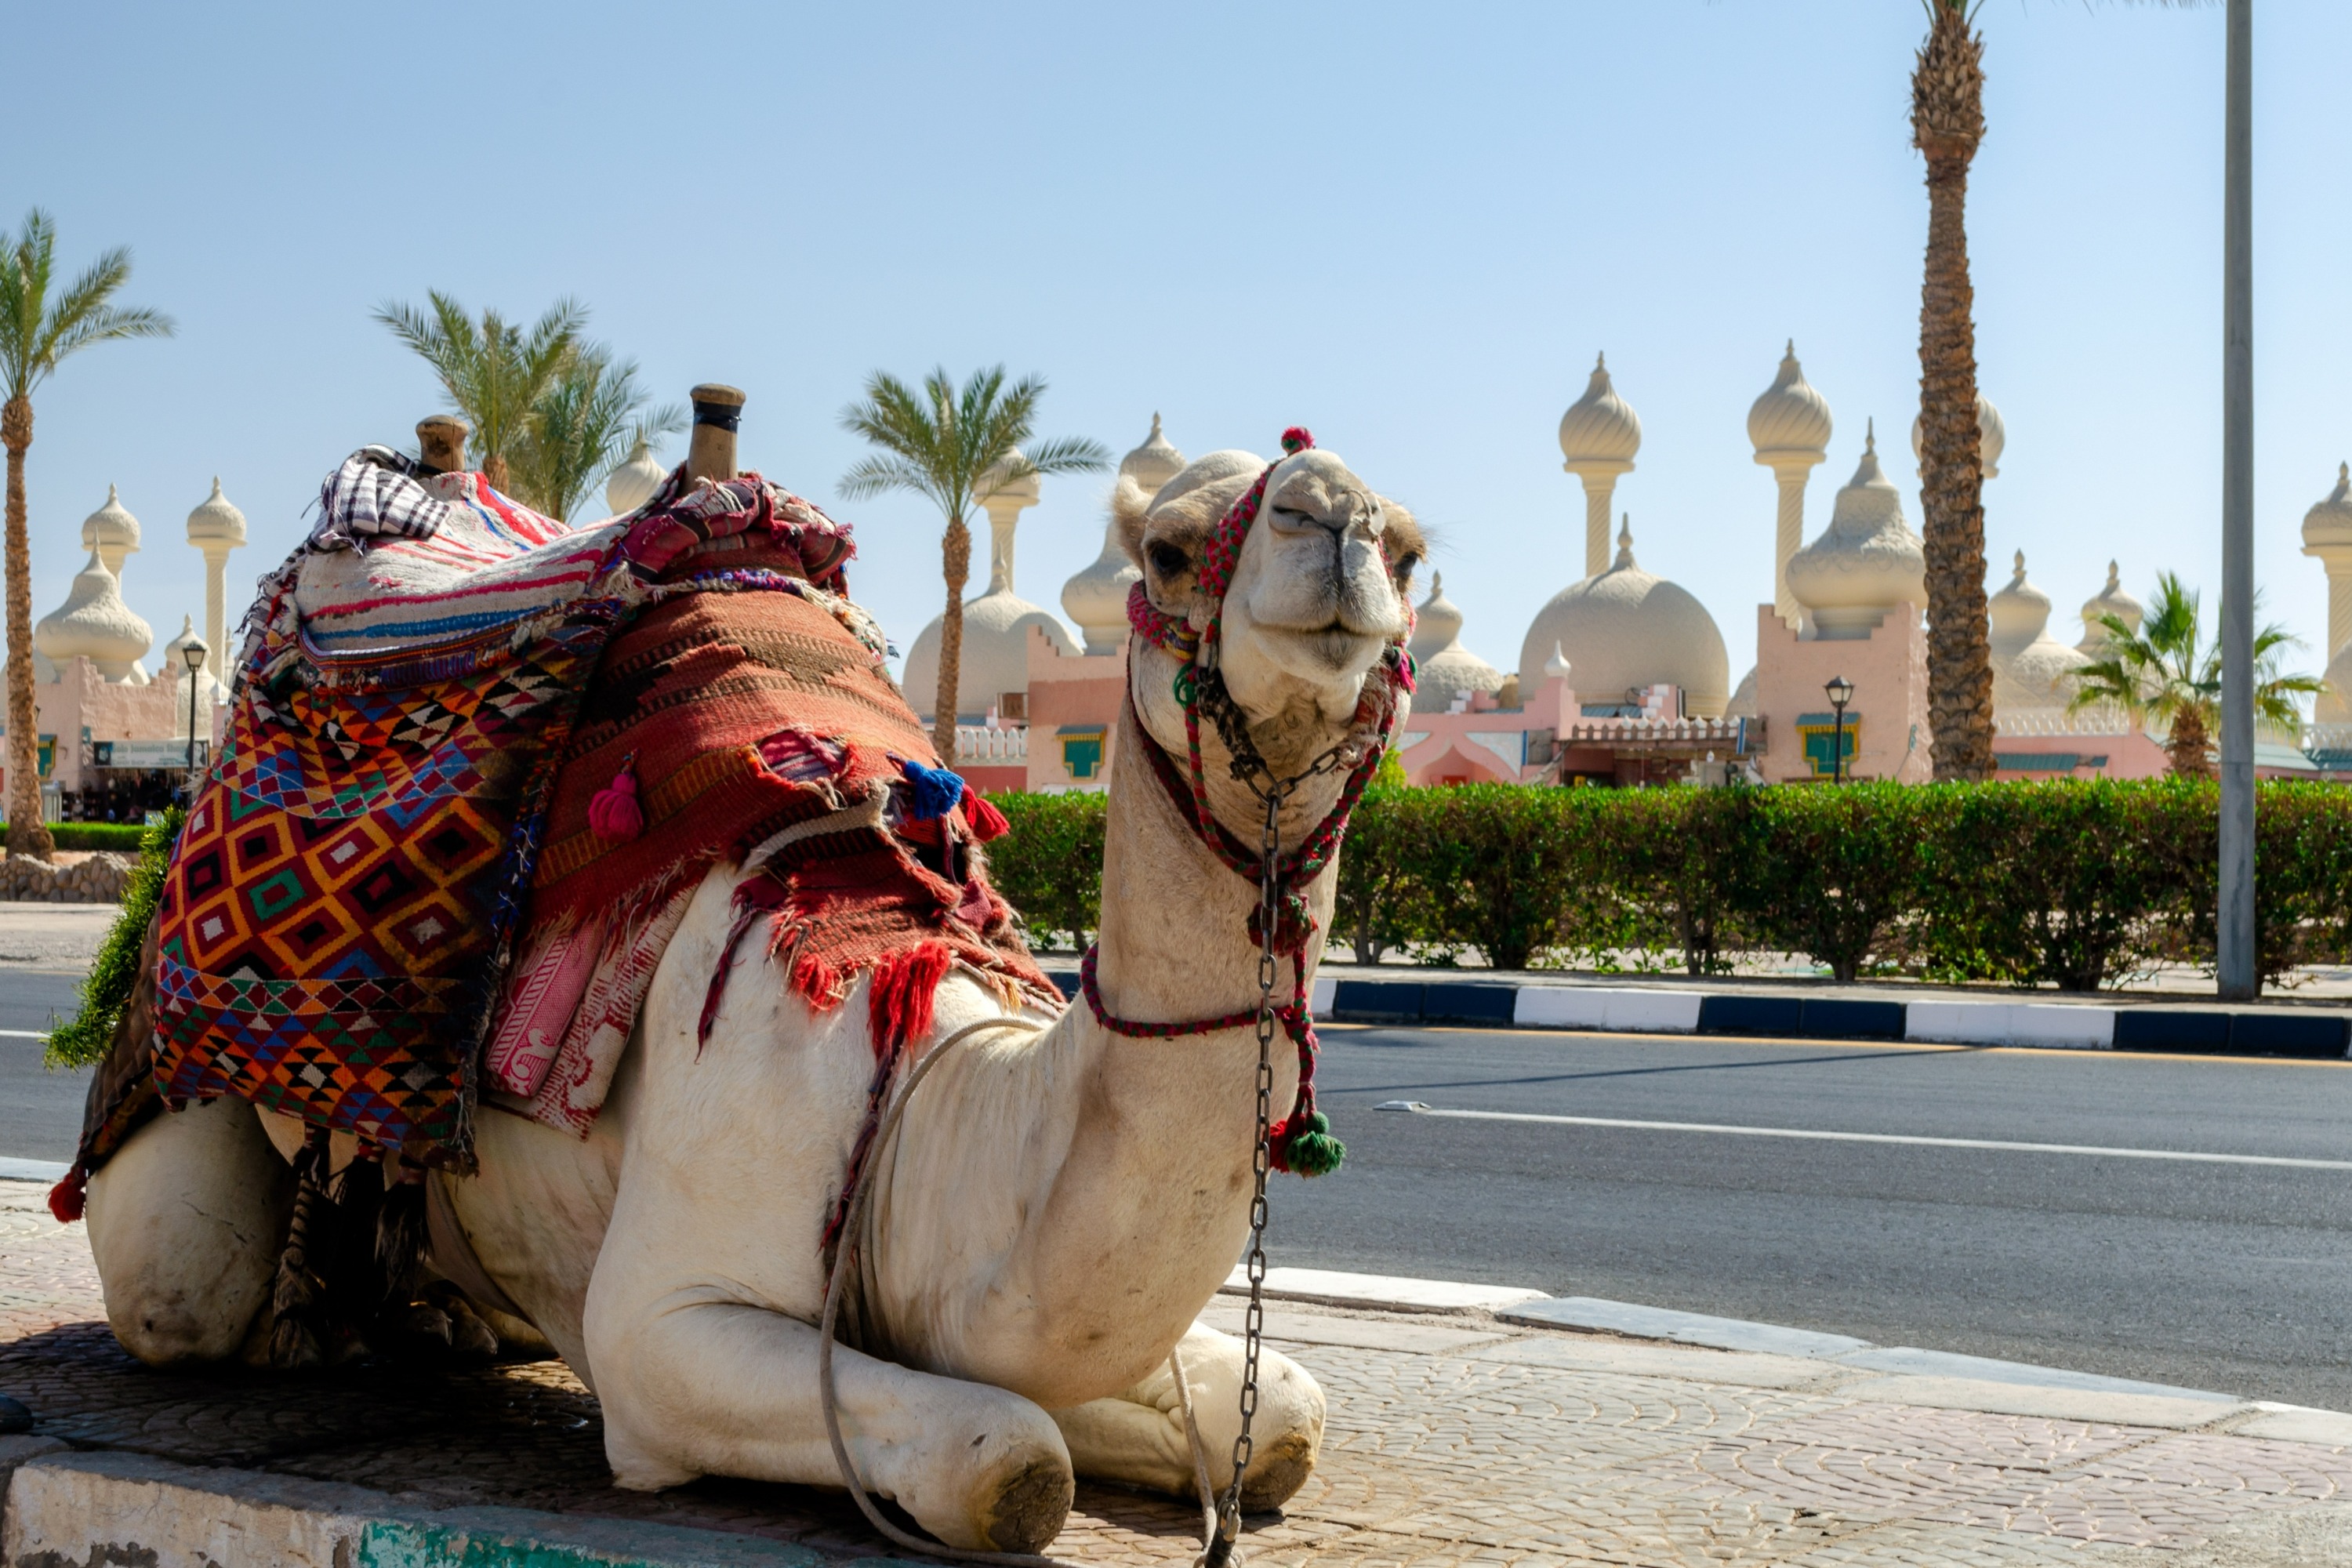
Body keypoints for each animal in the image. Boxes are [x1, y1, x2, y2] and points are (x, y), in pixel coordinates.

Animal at [78, 423, 1411, 1552]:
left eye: (1408, 547)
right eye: (1171, 551)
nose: (1337, 518)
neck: (922, 1103)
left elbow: (1280, 1418)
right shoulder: (664, 1328)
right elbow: (1011, 1462)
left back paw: (444, 1320)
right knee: (179, 1289)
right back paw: (322, 1327)